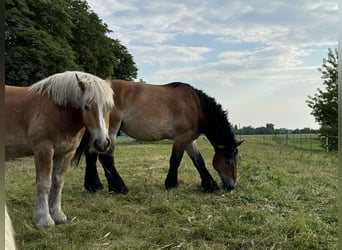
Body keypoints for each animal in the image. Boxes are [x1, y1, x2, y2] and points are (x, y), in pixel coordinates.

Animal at [5, 71, 115, 227]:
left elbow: (58, 182)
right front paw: (43, 218)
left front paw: (57, 214)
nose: (103, 143)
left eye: (109, 107)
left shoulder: (66, 153)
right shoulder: (44, 150)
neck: (57, 110)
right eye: (86, 106)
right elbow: (44, 183)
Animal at [73, 80, 243, 193]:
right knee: (106, 157)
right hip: (111, 130)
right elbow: (175, 160)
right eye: (227, 161)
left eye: (236, 160)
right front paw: (171, 184)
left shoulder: (189, 139)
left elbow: (198, 160)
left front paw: (210, 184)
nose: (231, 186)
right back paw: (119, 188)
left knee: (91, 154)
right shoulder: (181, 138)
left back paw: (95, 186)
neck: (197, 107)